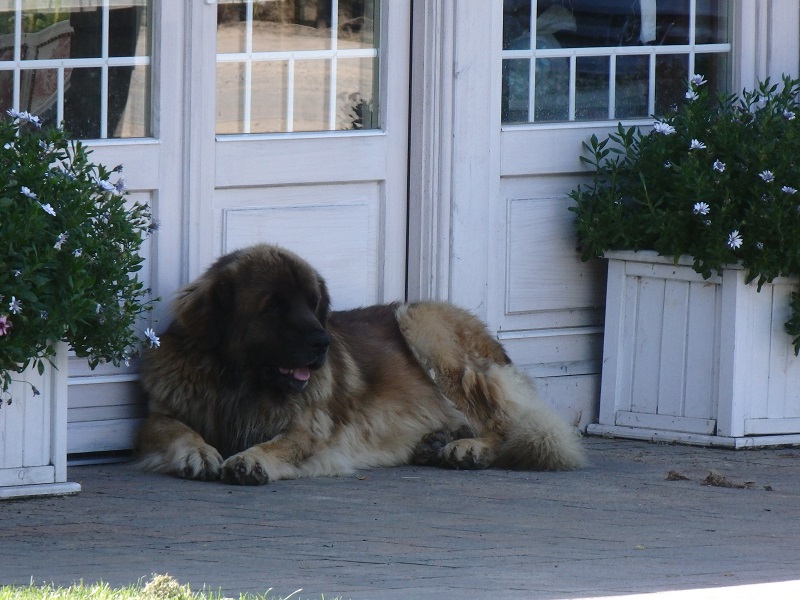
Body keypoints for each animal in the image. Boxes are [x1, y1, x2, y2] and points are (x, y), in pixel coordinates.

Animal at [136, 244, 584, 484]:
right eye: (274, 307)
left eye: (312, 303)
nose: (322, 342)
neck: (237, 384)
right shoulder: (159, 413)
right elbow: (173, 427)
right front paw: (198, 451)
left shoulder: (308, 428)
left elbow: (281, 443)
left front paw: (251, 459)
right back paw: (437, 442)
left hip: (422, 322)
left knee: (503, 426)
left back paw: (466, 448)